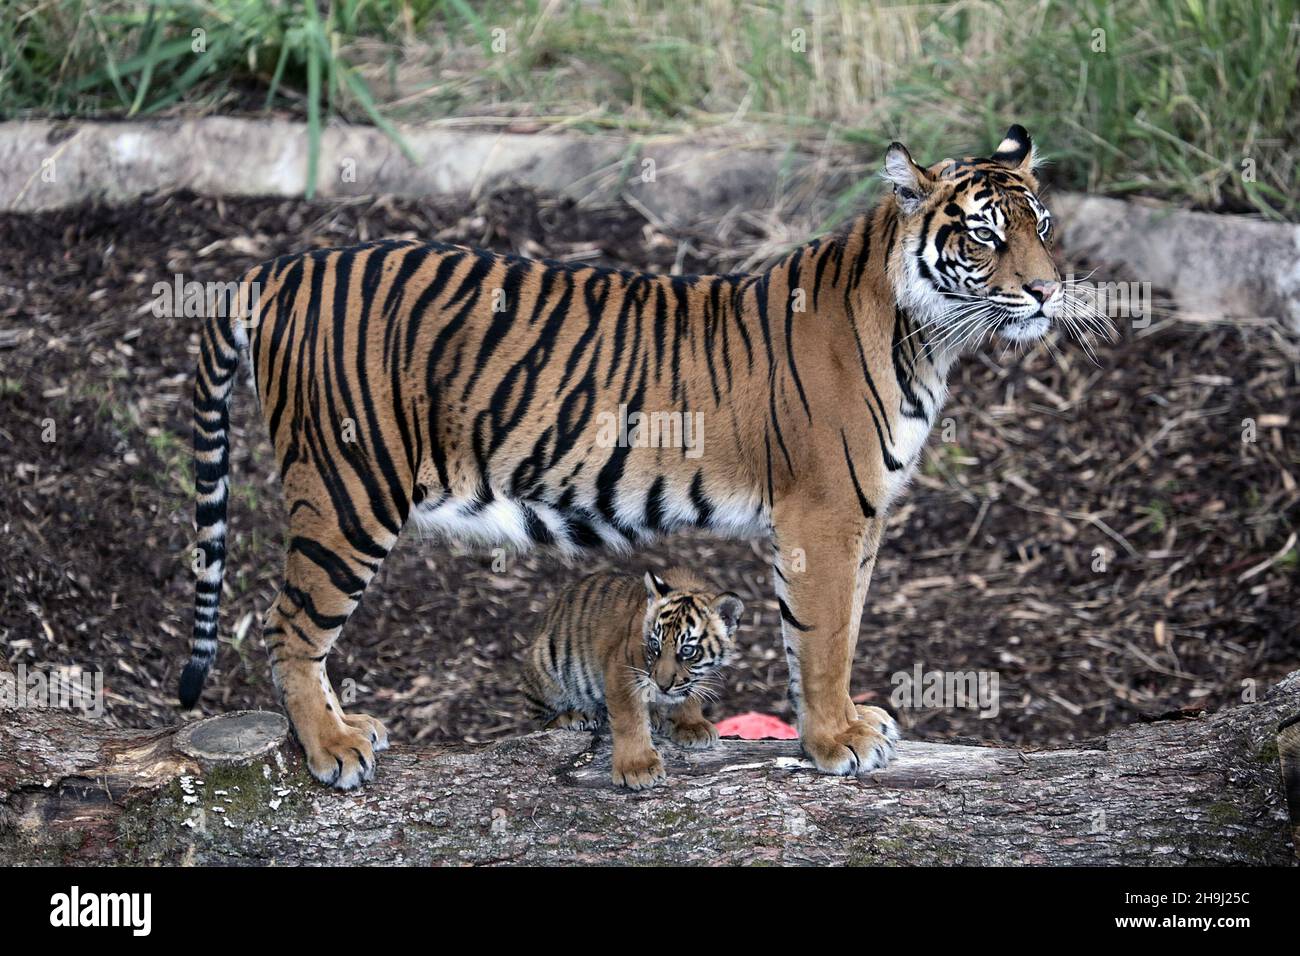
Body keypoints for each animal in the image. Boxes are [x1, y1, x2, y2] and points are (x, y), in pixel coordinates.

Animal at [185, 123, 1076, 790]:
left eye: (1043, 227)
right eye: (986, 235)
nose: (1047, 291)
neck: (926, 337)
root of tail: (285, 265)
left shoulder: (867, 516)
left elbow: (847, 627)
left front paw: (854, 722)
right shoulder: (822, 515)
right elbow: (821, 638)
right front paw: (834, 742)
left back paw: (353, 726)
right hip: (349, 491)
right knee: (289, 627)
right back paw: (331, 749)